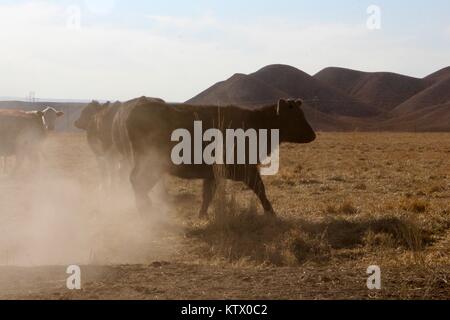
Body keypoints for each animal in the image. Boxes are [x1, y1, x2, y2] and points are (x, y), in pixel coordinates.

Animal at [121, 97, 314, 218]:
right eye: (295, 116)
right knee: (138, 182)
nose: (313, 135)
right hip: (150, 164)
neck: (258, 122)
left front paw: (202, 214)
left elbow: (208, 194)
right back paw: (146, 211)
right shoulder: (245, 170)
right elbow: (260, 189)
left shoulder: (212, 175)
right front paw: (271, 213)